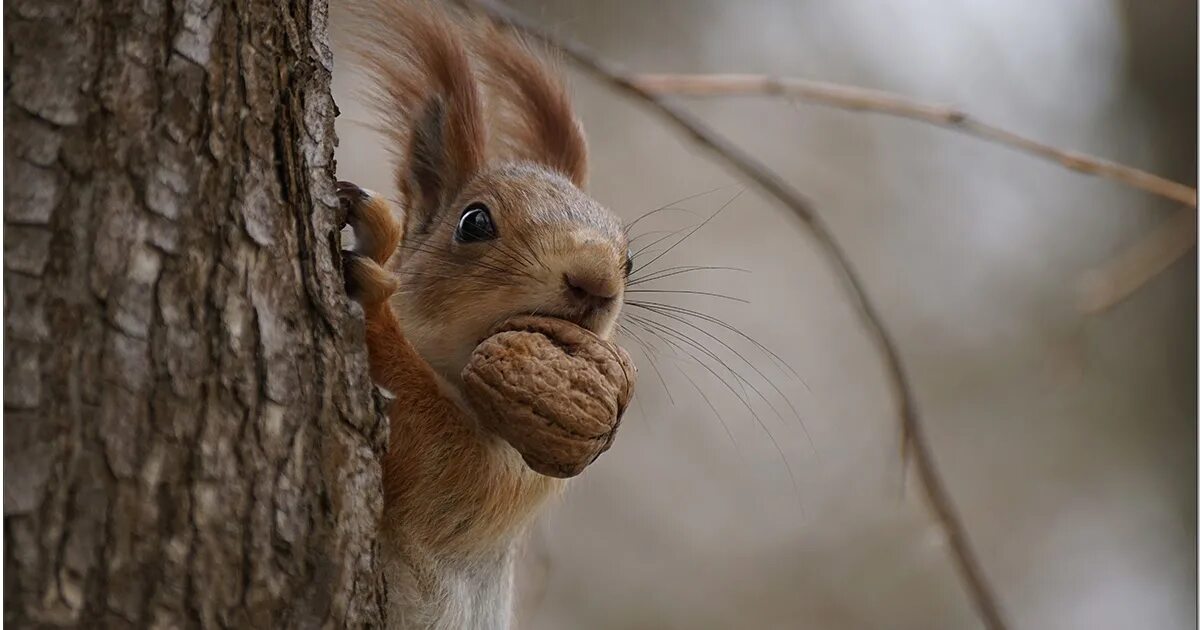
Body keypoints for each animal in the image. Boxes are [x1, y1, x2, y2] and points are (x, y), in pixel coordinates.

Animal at [333, 2, 633, 624]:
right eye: (474, 222)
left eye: (630, 260)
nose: (596, 280)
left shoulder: (513, 481)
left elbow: (433, 457)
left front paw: (374, 299)